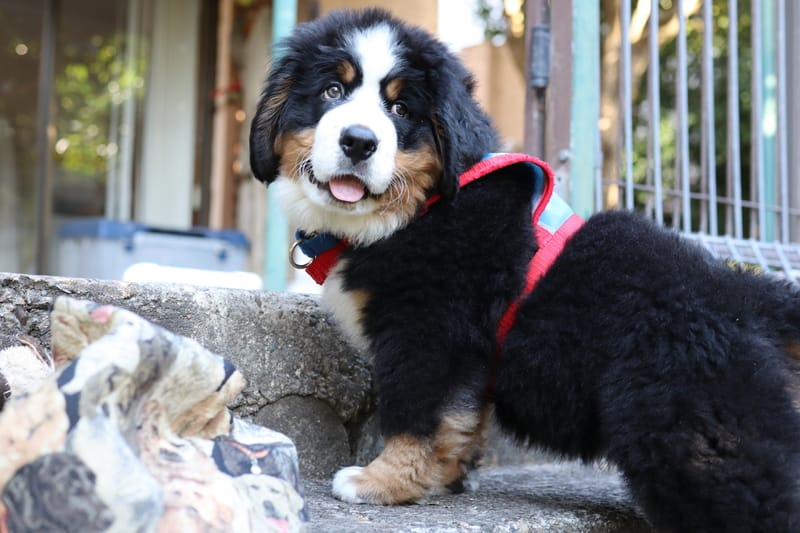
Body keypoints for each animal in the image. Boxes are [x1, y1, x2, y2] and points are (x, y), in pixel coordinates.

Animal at [250, 9, 800, 532]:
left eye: (400, 109)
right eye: (332, 91)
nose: (359, 141)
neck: (415, 212)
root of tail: (743, 296)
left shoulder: (431, 332)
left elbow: (418, 415)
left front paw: (381, 482)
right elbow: (462, 420)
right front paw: (448, 476)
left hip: (693, 436)